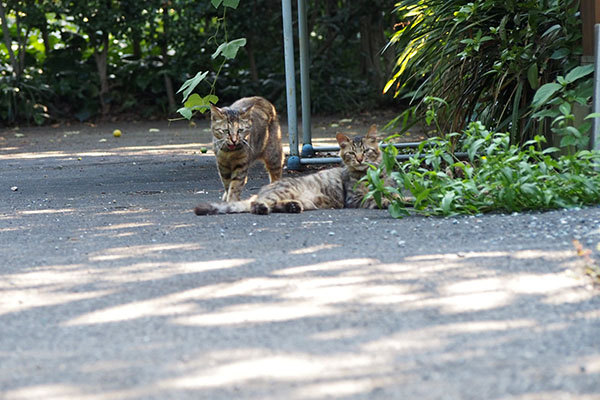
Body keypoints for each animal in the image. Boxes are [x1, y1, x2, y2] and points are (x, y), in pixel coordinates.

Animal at [193, 123, 390, 216]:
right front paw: (390, 201)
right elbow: (375, 198)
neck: (369, 174)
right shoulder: (354, 198)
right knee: (256, 205)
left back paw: (292, 206)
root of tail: (263, 190)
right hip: (283, 191)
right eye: (351, 153)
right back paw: (263, 208)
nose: (360, 159)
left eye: (366, 151)